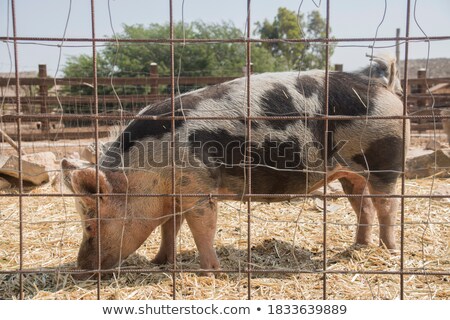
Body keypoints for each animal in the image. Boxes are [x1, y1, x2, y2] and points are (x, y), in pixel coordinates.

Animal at [61, 55, 410, 276]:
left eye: (90, 224)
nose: (81, 269)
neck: (144, 175)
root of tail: (386, 89)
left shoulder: (198, 186)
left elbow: (202, 227)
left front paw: (210, 273)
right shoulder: (174, 195)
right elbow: (169, 227)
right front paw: (160, 262)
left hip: (385, 160)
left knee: (386, 205)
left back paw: (389, 250)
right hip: (349, 172)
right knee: (362, 205)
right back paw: (358, 247)